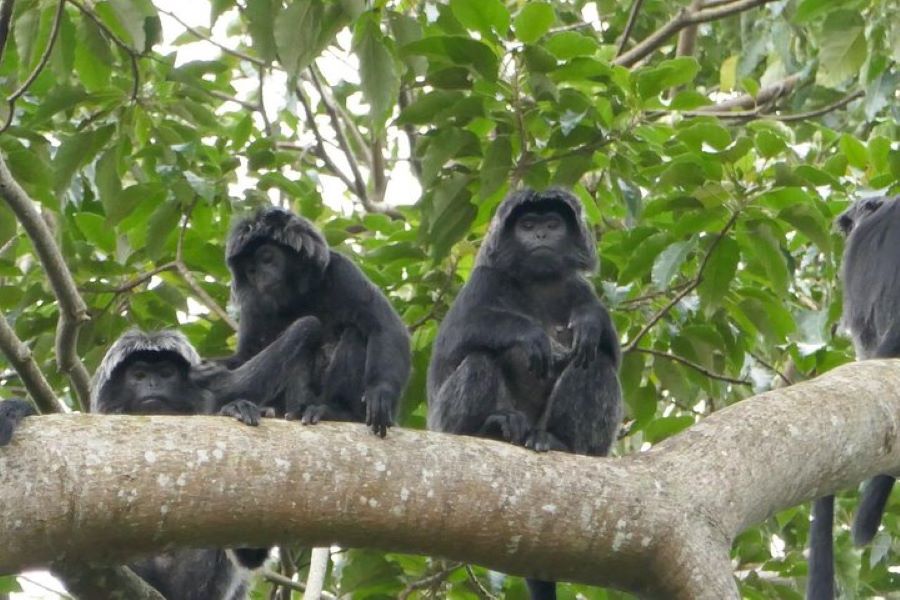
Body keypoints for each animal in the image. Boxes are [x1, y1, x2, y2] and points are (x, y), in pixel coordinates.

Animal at [0, 329, 268, 599]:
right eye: (139, 375)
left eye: (166, 373)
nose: (153, 384)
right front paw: (14, 409)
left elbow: (251, 553)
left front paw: (236, 408)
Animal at [205, 206, 411, 438]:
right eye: (251, 270)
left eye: (267, 258)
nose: (261, 278)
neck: (298, 297)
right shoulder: (254, 303)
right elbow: (246, 356)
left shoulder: (341, 269)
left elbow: (384, 325)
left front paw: (380, 392)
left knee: (355, 332)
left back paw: (338, 411)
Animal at [427, 187, 623, 600]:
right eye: (528, 225)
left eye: (552, 223)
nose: (541, 236)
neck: (538, 283)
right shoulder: (483, 280)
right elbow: (454, 342)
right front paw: (530, 335)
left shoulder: (579, 288)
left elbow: (609, 348)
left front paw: (589, 322)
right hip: (448, 422)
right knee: (479, 359)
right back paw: (493, 427)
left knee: (594, 363)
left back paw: (558, 441)